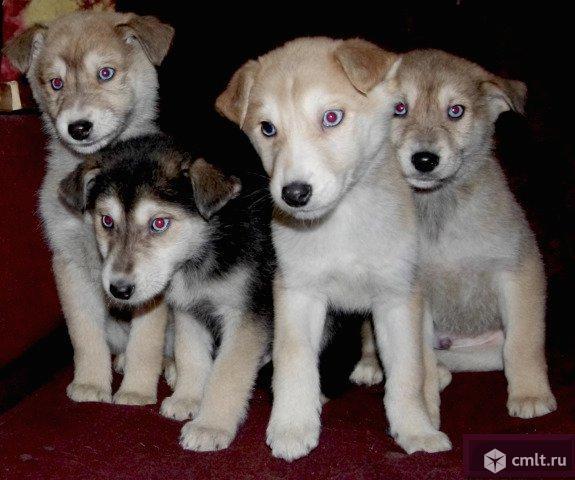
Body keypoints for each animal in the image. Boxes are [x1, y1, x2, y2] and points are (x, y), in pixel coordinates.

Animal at [3, 11, 174, 404]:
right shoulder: (69, 265)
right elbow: (84, 336)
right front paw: (91, 385)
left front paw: (137, 392)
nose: (78, 127)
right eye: (55, 83)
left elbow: (146, 340)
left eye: (106, 73)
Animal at [216, 38, 450, 462]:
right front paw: (293, 424)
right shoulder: (298, 292)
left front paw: (416, 429)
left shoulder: (396, 298)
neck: (342, 222)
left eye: (331, 117)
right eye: (268, 128)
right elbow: (294, 361)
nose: (294, 193)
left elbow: (407, 373)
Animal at [356, 47, 560, 416]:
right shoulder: (413, 292)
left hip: (486, 348)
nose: (424, 159)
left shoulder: (520, 269)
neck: (438, 206)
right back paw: (374, 365)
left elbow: (524, 343)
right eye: (399, 108)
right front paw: (424, 408)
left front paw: (530, 394)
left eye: (456, 111)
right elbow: (416, 360)